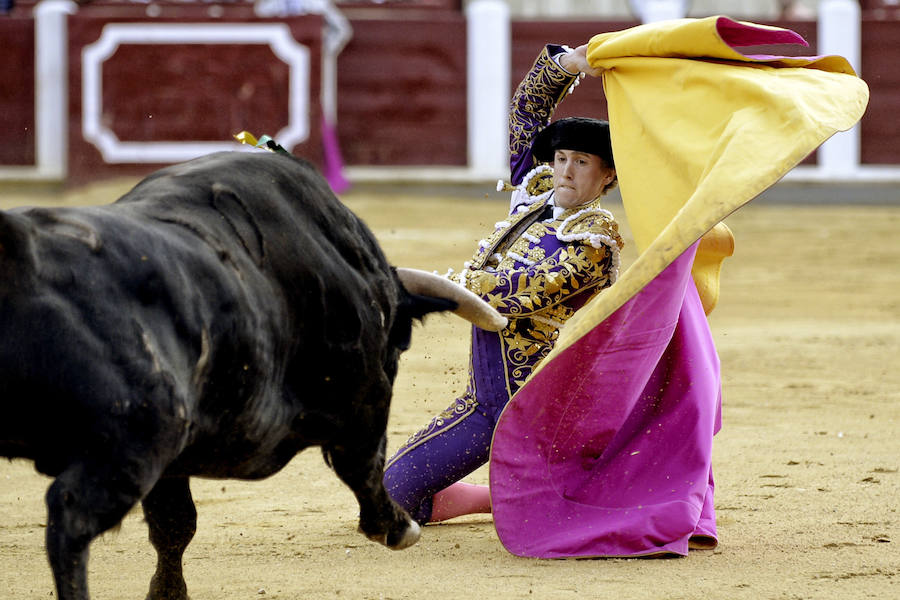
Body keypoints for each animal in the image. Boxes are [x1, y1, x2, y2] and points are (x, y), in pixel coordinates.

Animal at [0, 151, 506, 600]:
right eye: (398, 346)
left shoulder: (174, 459)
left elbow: (174, 526)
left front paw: (167, 592)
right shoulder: (365, 396)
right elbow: (364, 463)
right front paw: (398, 526)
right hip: (132, 442)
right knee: (70, 520)